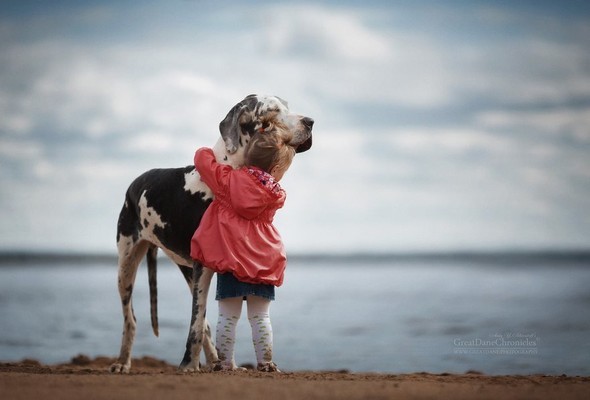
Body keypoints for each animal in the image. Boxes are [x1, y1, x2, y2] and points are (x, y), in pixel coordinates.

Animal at [110, 95, 314, 374]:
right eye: (272, 112)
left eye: (287, 106)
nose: (310, 121)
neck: (230, 169)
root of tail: (135, 182)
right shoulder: (204, 268)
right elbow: (196, 324)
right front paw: (188, 365)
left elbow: (211, 321)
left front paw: (225, 364)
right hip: (126, 267)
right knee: (130, 318)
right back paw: (123, 362)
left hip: (187, 271)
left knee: (204, 321)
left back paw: (215, 361)